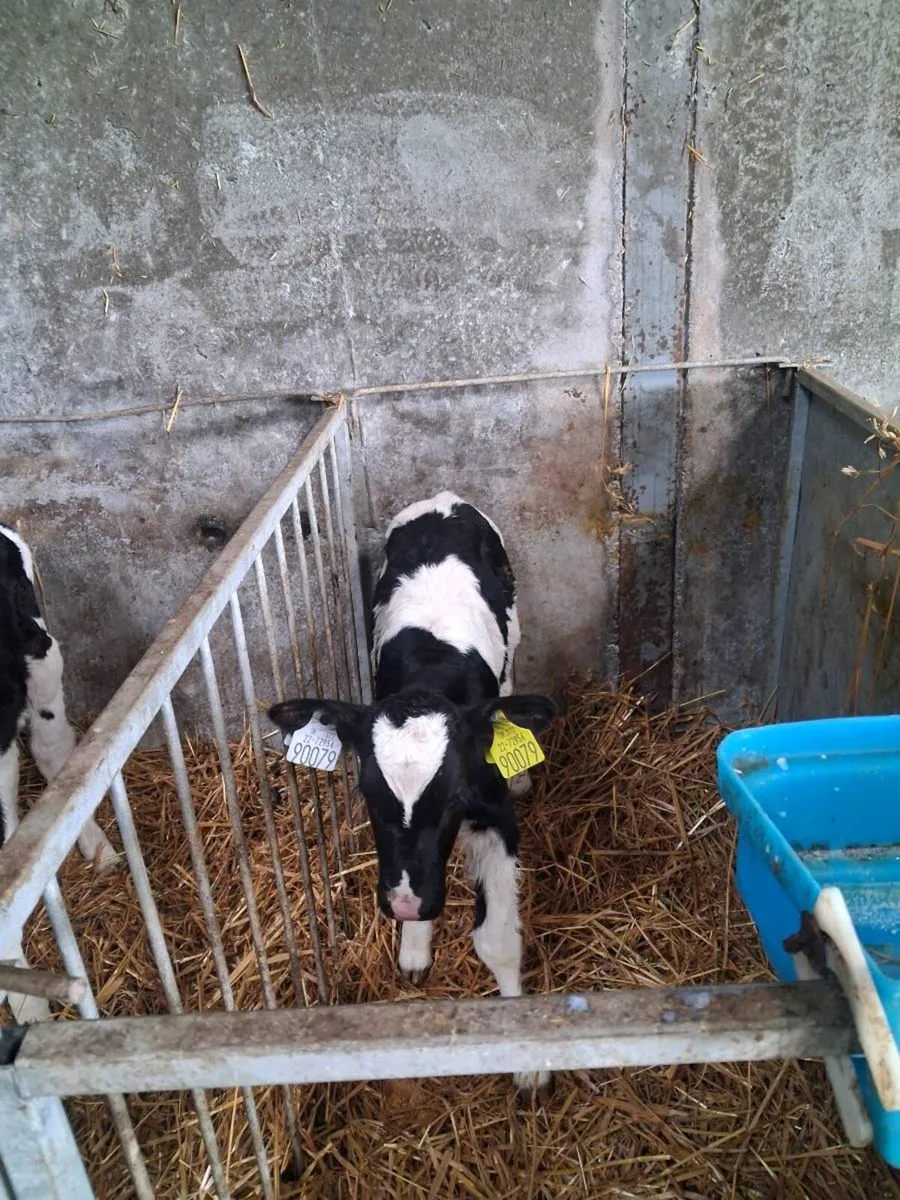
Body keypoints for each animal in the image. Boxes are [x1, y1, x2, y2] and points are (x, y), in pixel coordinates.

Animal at [269, 491, 557, 1091]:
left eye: (453, 797)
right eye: (365, 791)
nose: (402, 904)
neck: (430, 675)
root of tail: (446, 498)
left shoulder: (494, 814)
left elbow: (497, 939)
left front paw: (527, 1061)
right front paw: (416, 949)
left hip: (517, 627)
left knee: (512, 677)